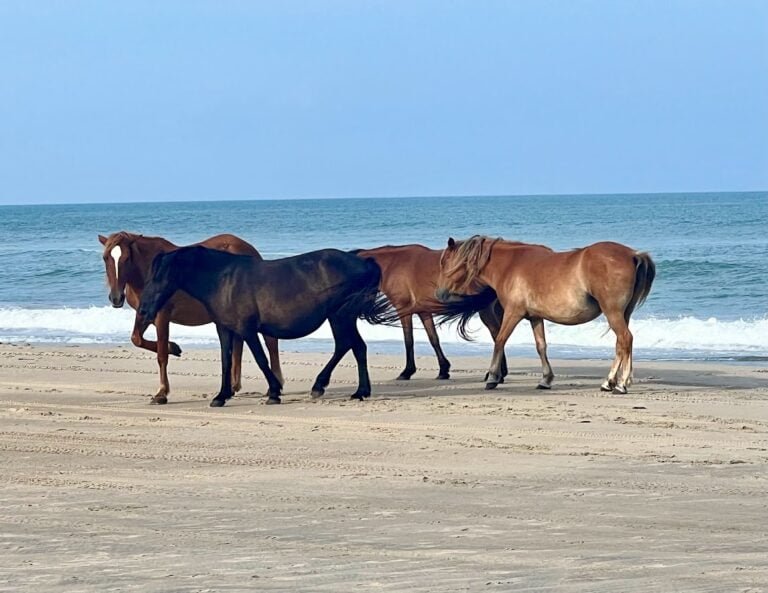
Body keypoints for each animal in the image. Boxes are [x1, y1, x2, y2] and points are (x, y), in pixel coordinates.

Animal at [98, 232, 283, 404]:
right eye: (105, 258)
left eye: (127, 258)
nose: (116, 298)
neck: (148, 270)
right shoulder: (143, 313)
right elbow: (137, 339)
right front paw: (174, 347)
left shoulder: (161, 316)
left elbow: (161, 355)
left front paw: (162, 393)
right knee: (239, 344)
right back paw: (233, 386)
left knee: (270, 343)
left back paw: (275, 385)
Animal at [135, 246, 395, 406]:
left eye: (160, 276)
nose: (144, 311)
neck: (222, 280)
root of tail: (364, 261)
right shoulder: (225, 329)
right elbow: (226, 361)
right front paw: (221, 396)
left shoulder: (247, 329)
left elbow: (261, 359)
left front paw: (274, 392)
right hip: (339, 316)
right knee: (353, 346)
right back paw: (349, 389)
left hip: (342, 315)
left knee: (351, 346)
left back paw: (342, 389)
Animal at [356, 244, 511, 382]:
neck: (394, 265)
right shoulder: (424, 311)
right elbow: (433, 339)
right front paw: (443, 370)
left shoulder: (404, 310)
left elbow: (408, 340)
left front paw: (407, 372)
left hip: (486, 310)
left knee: (496, 333)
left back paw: (496, 374)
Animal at [435, 236, 655, 394]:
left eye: (446, 263)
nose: (440, 293)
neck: (510, 265)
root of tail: (633, 255)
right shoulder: (535, 317)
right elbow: (541, 346)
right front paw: (545, 380)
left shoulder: (513, 313)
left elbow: (500, 340)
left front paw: (492, 378)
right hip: (622, 314)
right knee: (621, 344)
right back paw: (609, 382)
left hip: (613, 312)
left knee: (625, 339)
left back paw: (620, 384)